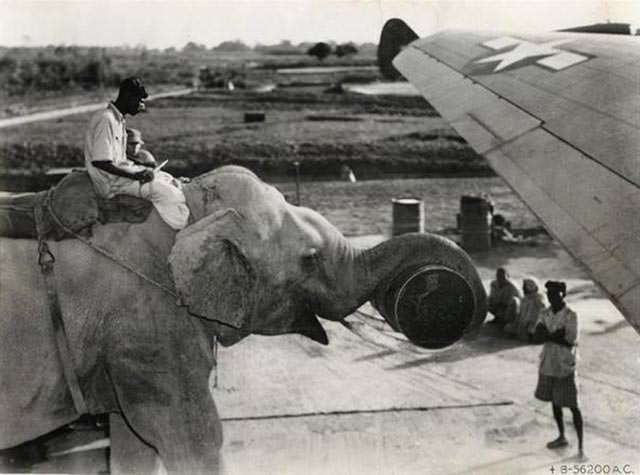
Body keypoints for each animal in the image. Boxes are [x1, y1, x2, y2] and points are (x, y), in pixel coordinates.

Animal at [0, 165, 484, 474]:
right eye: (310, 259)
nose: (434, 295)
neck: (187, 212)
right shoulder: (147, 327)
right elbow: (193, 440)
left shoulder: (127, 343)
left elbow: (135, 445)